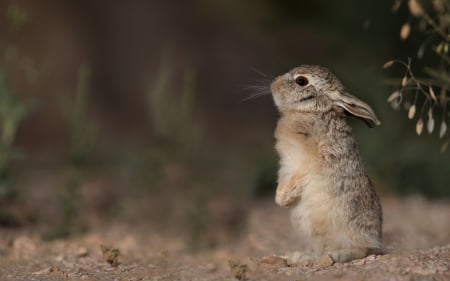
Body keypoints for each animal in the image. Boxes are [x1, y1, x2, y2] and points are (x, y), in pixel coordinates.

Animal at [270, 64, 384, 266]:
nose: (274, 84)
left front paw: (286, 197)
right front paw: (281, 199)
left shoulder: (312, 160)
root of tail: (373, 239)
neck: (311, 111)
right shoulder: (286, 165)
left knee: (360, 250)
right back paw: (301, 257)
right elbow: (284, 178)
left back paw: (335, 256)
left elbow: (302, 173)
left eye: (301, 81)